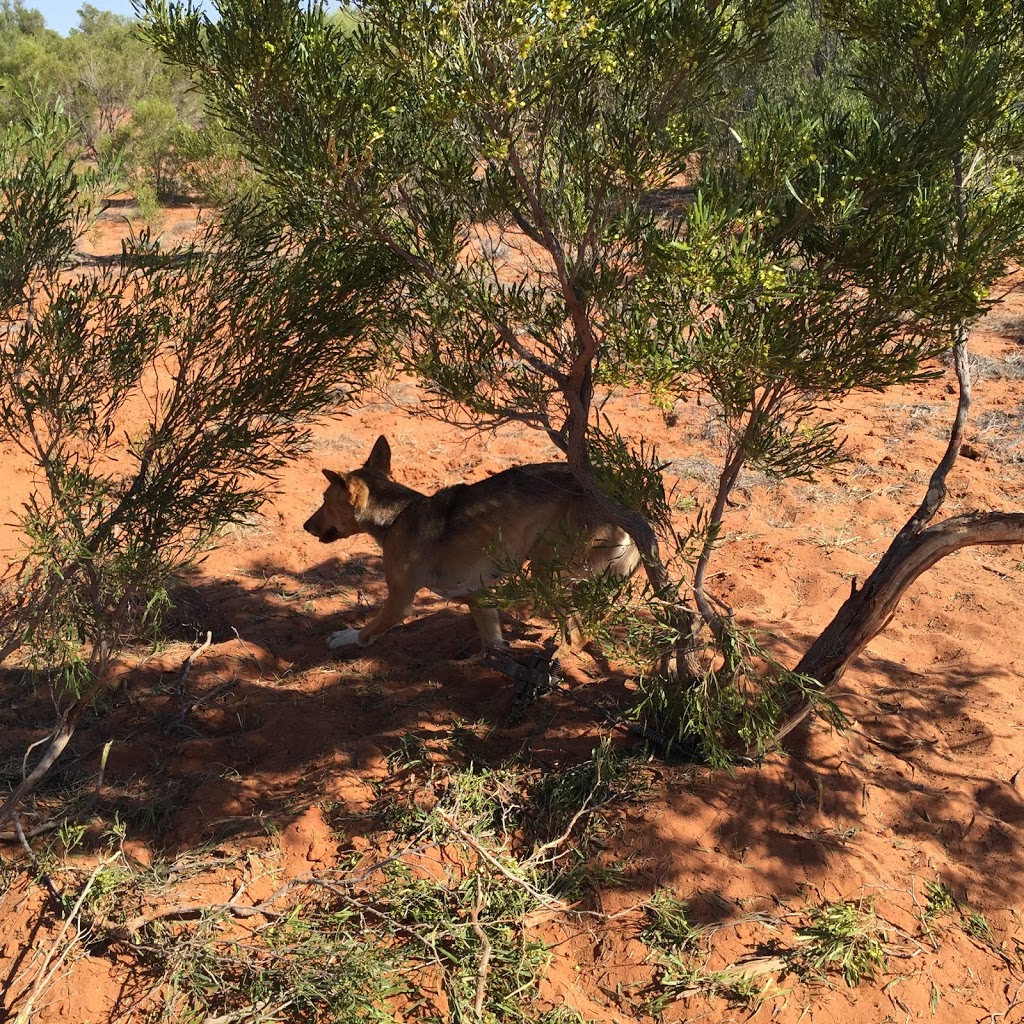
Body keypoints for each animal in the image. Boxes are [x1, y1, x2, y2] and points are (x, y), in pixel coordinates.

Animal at [303, 436, 638, 651]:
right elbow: (494, 643)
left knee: (577, 635)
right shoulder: (480, 596)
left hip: (546, 571)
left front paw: (345, 637)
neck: (398, 515)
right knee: (592, 621)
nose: (305, 526)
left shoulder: (399, 602)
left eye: (324, 500)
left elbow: (368, 631)